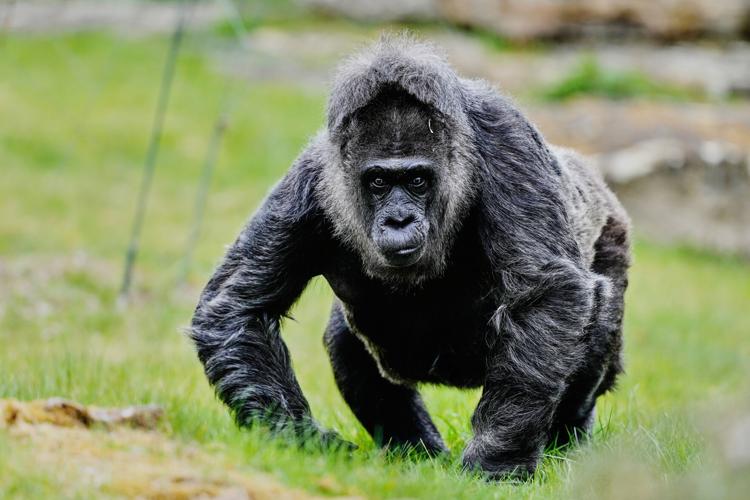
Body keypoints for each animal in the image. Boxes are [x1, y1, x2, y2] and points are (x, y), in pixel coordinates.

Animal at [190, 35, 631, 479]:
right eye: (379, 182)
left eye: (417, 180)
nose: (398, 220)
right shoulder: (312, 181)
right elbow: (237, 308)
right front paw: (303, 440)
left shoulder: (507, 143)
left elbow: (546, 292)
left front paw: (497, 461)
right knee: (345, 345)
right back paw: (416, 451)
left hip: (612, 233)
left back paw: (566, 442)